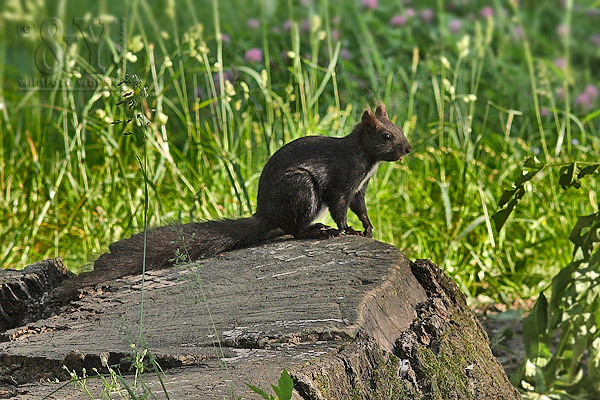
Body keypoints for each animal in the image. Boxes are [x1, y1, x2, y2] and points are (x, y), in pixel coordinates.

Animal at [95, 104, 412, 276]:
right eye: (387, 136)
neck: (365, 158)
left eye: (398, 128)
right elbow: (340, 209)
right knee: (295, 229)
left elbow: (361, 208)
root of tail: (265, 214)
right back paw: (318, 231)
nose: (408, 149)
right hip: (301, 189)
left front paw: (368, 227)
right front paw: (348, 230)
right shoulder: (342, 182)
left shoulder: (359, 189)